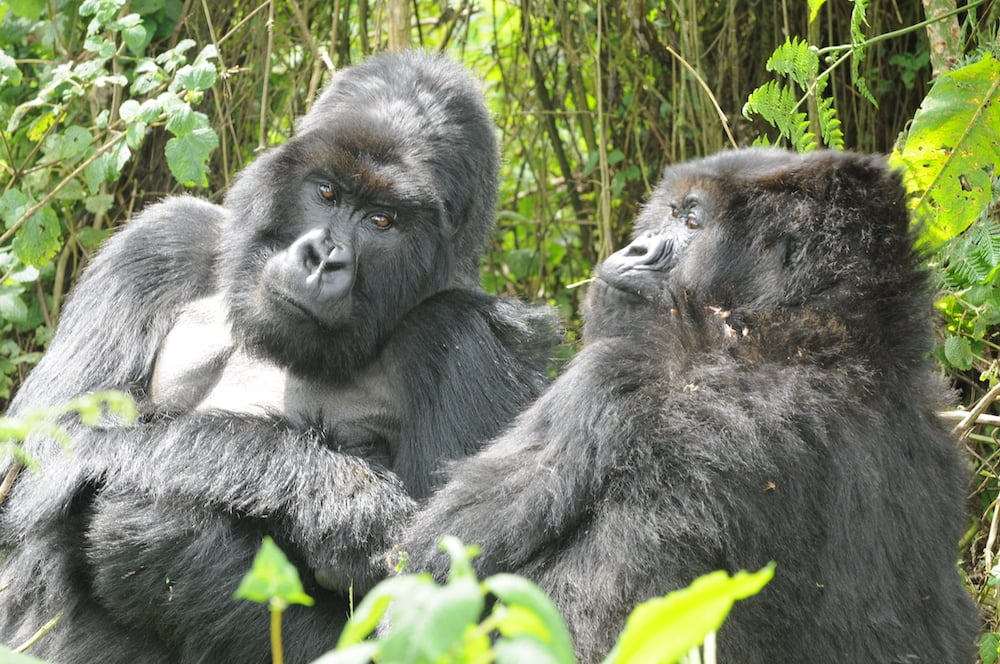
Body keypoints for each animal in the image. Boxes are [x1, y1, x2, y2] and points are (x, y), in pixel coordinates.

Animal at [0, 49, 560, 660]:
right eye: (327, 192)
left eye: (382, 220)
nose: (322, 258)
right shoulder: (160, 243)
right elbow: (45, 442)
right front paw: (335, 494)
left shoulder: (468, 336)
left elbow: (454, 612)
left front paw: (171, 542)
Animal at [404, 148, 976, 660]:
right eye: (673, 212)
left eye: (694, 221)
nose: (636, 248)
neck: (814, 335)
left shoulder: (615, 375)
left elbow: (427, 572)